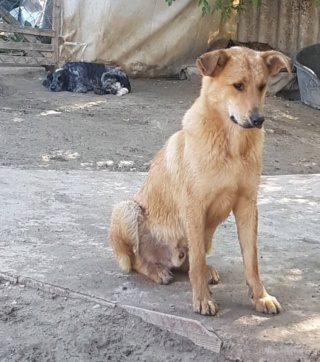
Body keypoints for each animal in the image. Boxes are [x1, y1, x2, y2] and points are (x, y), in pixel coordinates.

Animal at [109, 46, 292, 316]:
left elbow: (251, 260)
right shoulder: (194, 207)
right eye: (238, 85)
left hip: (207, 233)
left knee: (188, 263)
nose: (258, 120)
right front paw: (202, 300)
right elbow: (196, 261)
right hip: (125, 209)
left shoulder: (247, 205)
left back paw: (207, 271)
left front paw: (261, 296)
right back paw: (157, 270)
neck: (232, 145)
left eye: (262, 86)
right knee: (136, 260)